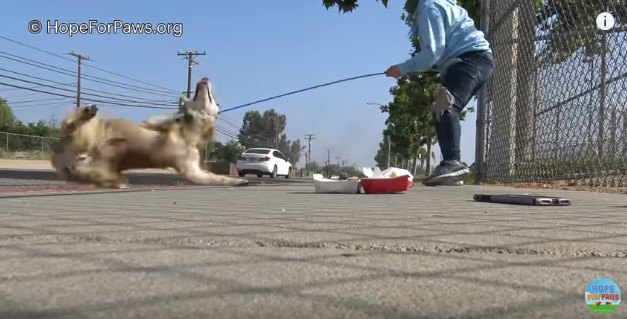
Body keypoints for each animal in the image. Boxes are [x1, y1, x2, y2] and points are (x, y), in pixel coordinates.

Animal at [52, 78, 248, 189]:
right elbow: (163, 120)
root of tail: (61, 157)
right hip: (89, 131)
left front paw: (237, 181)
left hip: (95, 167)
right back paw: (86, 111)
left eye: (215, 101)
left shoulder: (193, 171)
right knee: (69, 124)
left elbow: (217, 178)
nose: (205, 77)